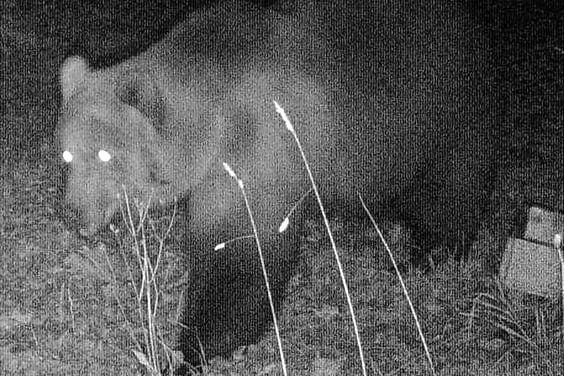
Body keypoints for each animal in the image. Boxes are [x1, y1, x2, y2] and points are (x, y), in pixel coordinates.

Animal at [58, 0, 494, 370]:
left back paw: (425, 252)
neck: (212, 125)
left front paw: (193, 349)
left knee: (451, 186)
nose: (74, 214)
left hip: (443, 109)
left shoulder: (261, 151)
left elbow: (241, 257)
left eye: (105, 156)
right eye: (66, 155)